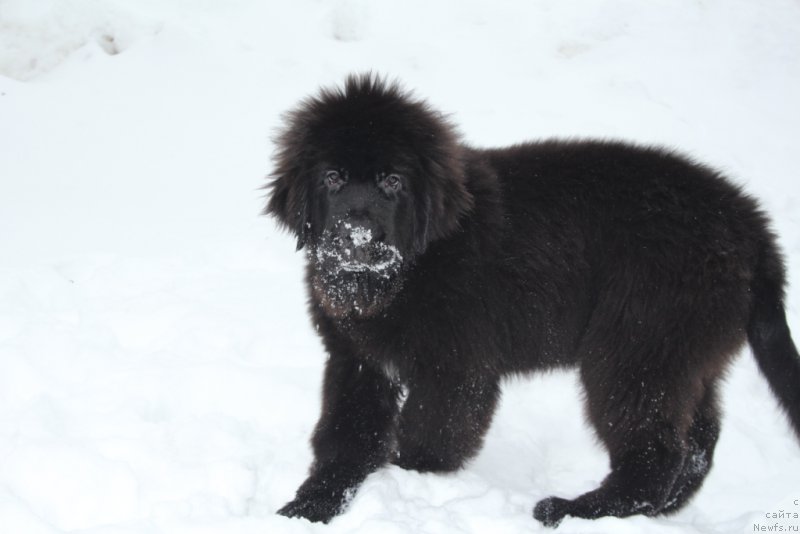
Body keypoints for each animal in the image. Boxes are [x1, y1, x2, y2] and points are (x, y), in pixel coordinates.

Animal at [264, 74, 800, 528]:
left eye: (392, 181)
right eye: (333, 177)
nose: (356, 235)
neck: (402, 274)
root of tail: (754, 231)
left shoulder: (455, 369)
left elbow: (429, 437)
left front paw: (408, 482)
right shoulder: (358, 359)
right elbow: (345, 436)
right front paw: (310, 505)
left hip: (636, 346)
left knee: (656, 450)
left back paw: (575, 509)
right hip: (688, 353)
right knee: (698, 442)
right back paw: (658, 510)